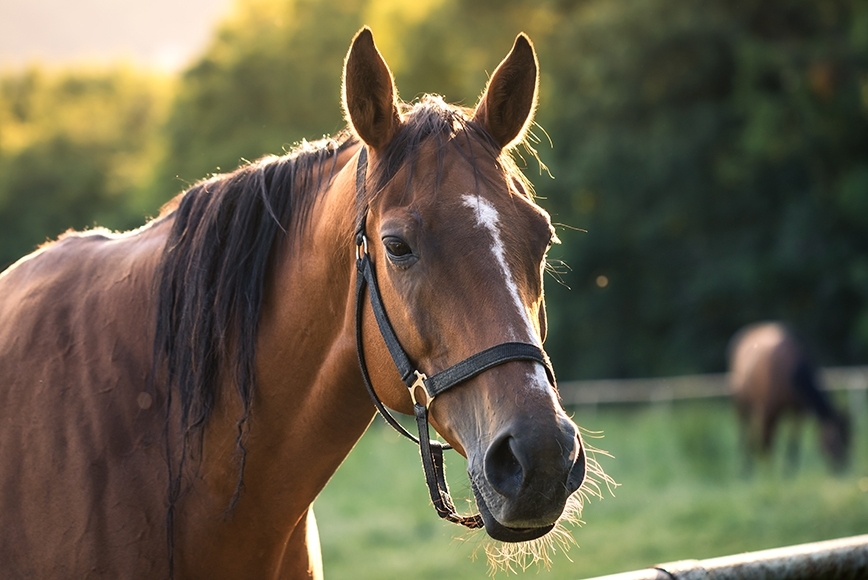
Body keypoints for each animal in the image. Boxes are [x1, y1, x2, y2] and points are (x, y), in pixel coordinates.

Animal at [728, 320, 852, 474]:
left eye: (849, 440)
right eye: (834, 441)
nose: (842, 469)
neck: (791, 371)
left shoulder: (798, 412)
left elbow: (794, 441)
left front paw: (789, 470)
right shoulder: (769, 411)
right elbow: (767, 441)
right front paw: (768, 473)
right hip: (742, 404)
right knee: (744, 433)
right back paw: (745, 469)